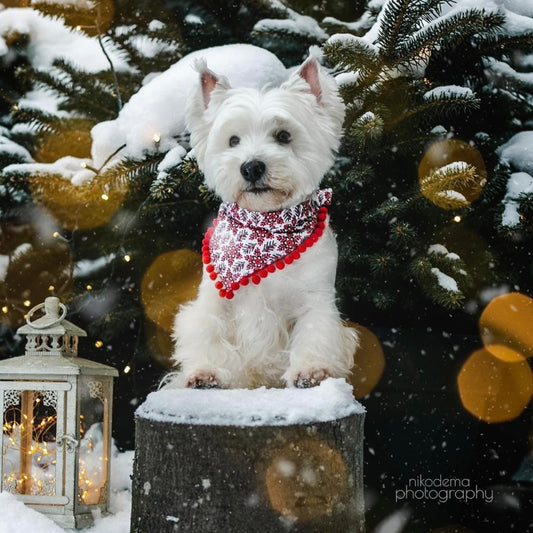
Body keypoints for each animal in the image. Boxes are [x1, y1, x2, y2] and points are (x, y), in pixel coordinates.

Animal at [168, 56, 356, 386]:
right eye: (233, 140)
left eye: (284, 136)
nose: (252, 167)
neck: (265, 226)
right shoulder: (216, 299)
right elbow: (209, 334)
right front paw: (206, 372)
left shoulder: (315, 301)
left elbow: (314, 333)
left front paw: (310, 370)